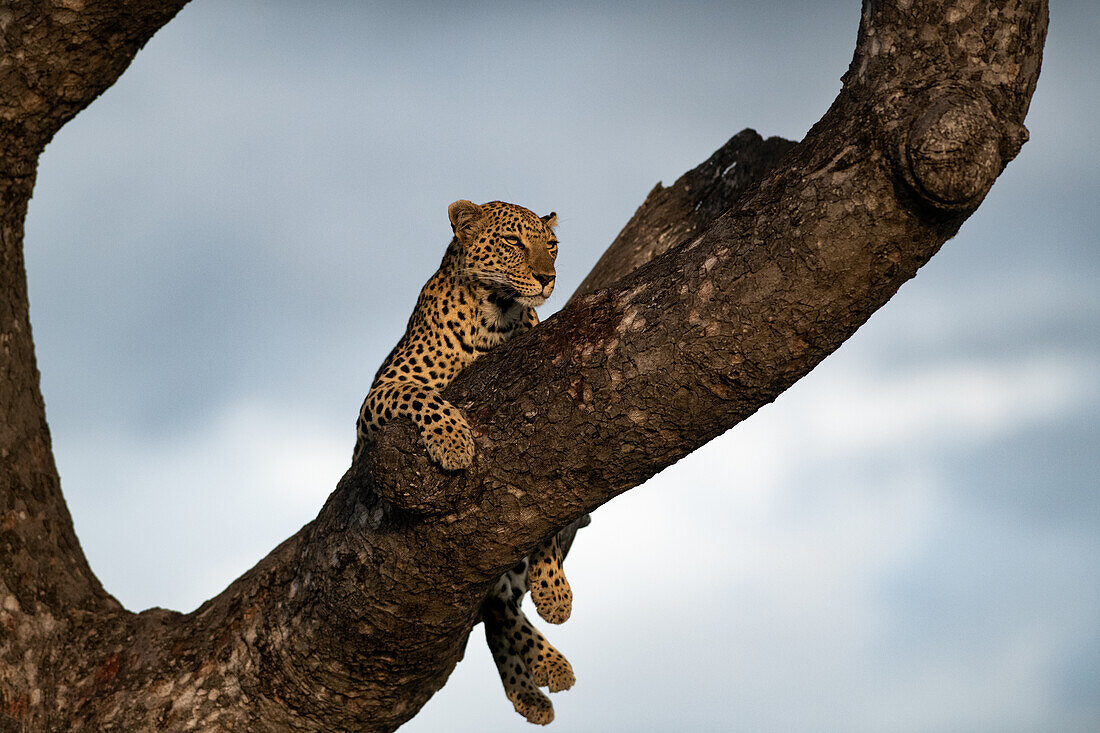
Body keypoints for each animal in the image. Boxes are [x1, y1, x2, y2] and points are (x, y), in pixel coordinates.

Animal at [356, 198, 585, 717]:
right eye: (513, 242)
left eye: (552, 245)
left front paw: (554, 591)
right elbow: (422, 396)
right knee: (497, 607)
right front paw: (454, 443)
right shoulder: (378, 397)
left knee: (501, 599)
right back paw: (543, 677)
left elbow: (545, 509)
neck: (496, 316)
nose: (548, 278)